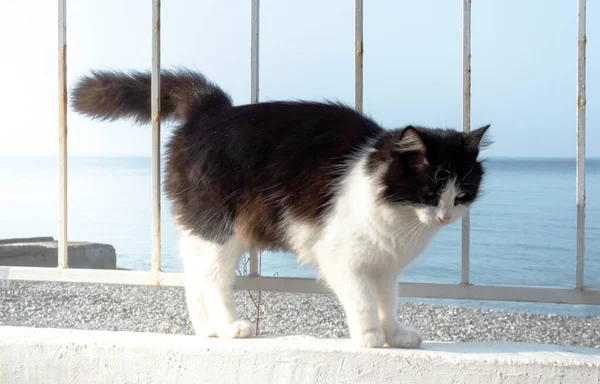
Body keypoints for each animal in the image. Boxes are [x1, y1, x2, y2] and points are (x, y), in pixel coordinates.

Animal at [71, 68, 492, 348]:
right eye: (432, 188)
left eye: (462, 191)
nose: (446, 215)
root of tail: (211, 111)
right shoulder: (342, 257)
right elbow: (361, 300)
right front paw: (371, 336)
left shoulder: (385, 265)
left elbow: (388, 301)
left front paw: (395, 334)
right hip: (221, 229)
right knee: (213, 279)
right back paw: (230, 328)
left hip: (202, 229)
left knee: (194, 276)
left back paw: (207, 329)